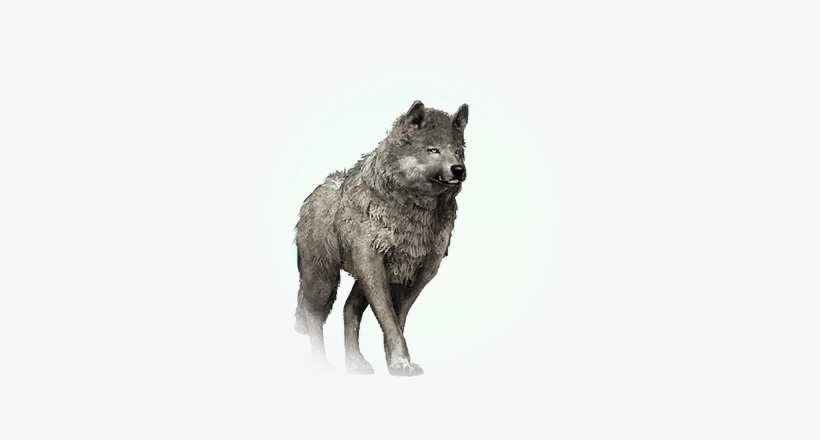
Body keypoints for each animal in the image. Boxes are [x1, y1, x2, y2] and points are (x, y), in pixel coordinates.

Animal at [293, 100, 468, 376]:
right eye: (433, 150)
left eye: (458, 151)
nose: (459, 170)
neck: (414, 211)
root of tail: (313, 194)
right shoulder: (372, 266)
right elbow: (389, 319)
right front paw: (400, 362)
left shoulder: (418, 272)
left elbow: (398, 318)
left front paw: (395, 361)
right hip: (323, 277)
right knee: (314, 313)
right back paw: (321, 364)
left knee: (348, 309)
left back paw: (355, 363)